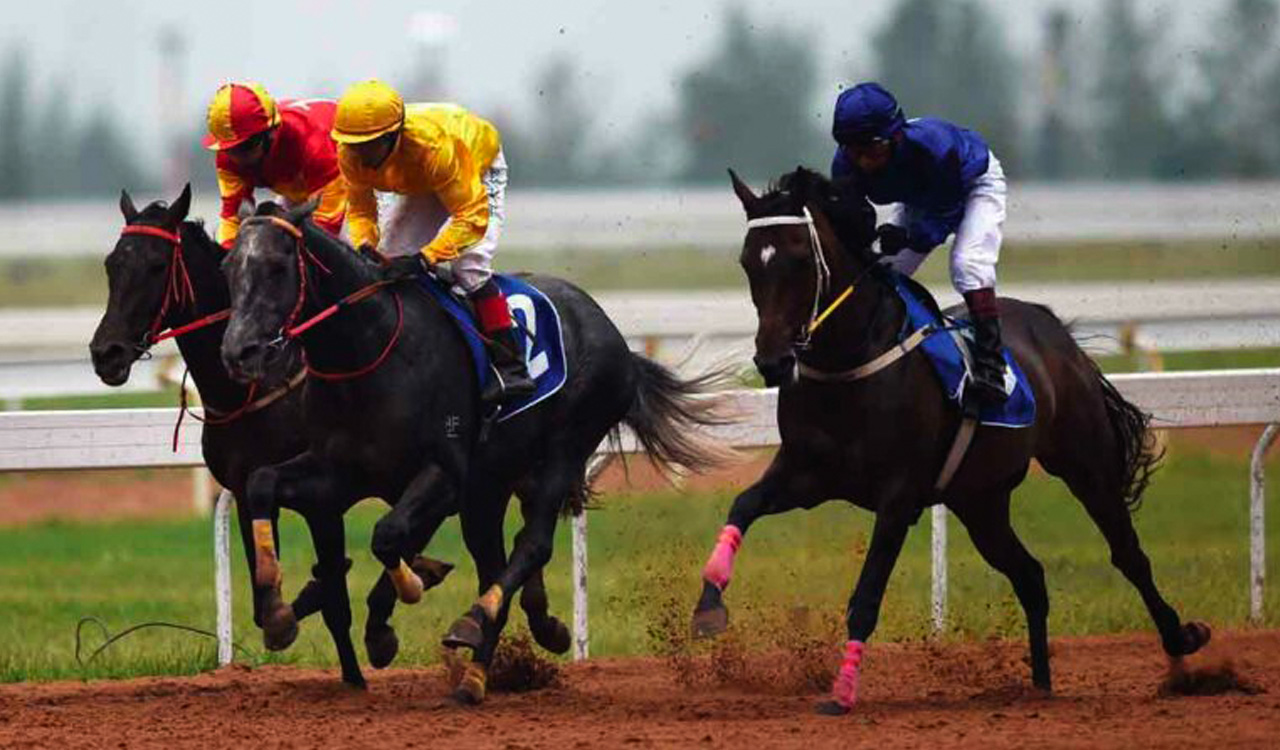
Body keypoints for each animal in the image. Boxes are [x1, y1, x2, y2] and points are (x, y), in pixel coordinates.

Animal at [88, 186, 566, 676]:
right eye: (111, 264)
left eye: (156, 266)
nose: (106, 352)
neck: (259, 386)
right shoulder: (247, 488)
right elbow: (271, 598)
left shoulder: (325, 498)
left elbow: (335, 590)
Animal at [220, 201, 732, 699]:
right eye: (229, 267)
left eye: (277, 266)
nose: (238, 352)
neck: (368, 351)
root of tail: (614, 336)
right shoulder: (339, 472)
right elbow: (263, 482)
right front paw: (278, 612)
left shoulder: (444, 476)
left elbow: (388, 534)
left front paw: (401, 602)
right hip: (490, 489)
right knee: (497, 565)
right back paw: (487, 667)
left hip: (564, 450)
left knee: (532, 545)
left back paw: (474, 625)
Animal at [689, 167, 1211, 715]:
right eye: (748, 262)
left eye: (798, 257)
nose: (771, 362)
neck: (849, 364)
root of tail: (1055, 329)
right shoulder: (805, 474)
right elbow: (743, 505)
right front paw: (709, 606)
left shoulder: (898, 497)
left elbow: (866, 596)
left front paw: (843, 690)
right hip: (980, 500)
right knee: (1030, 575)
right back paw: (1040, 683)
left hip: (1083, 462)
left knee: (1128, 554)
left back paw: (1181, 641)